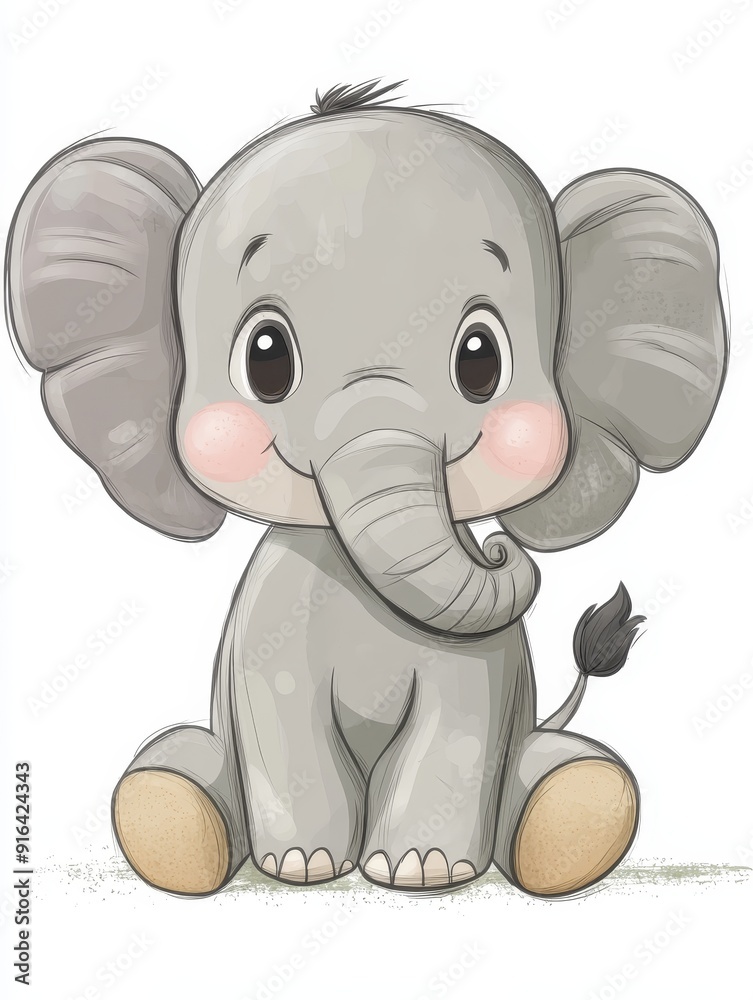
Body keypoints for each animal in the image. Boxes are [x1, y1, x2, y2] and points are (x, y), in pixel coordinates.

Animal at [6, 79, 727, 897]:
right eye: (265, 357)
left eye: (481, 359)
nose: (497, 547)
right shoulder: (269, 621)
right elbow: (281, 716)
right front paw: (304, 866)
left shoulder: (480, 663)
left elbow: (459, 726)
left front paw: (422, 872)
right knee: (177, 761)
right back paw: (172, 829)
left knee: (566, 770)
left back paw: (572, 822)